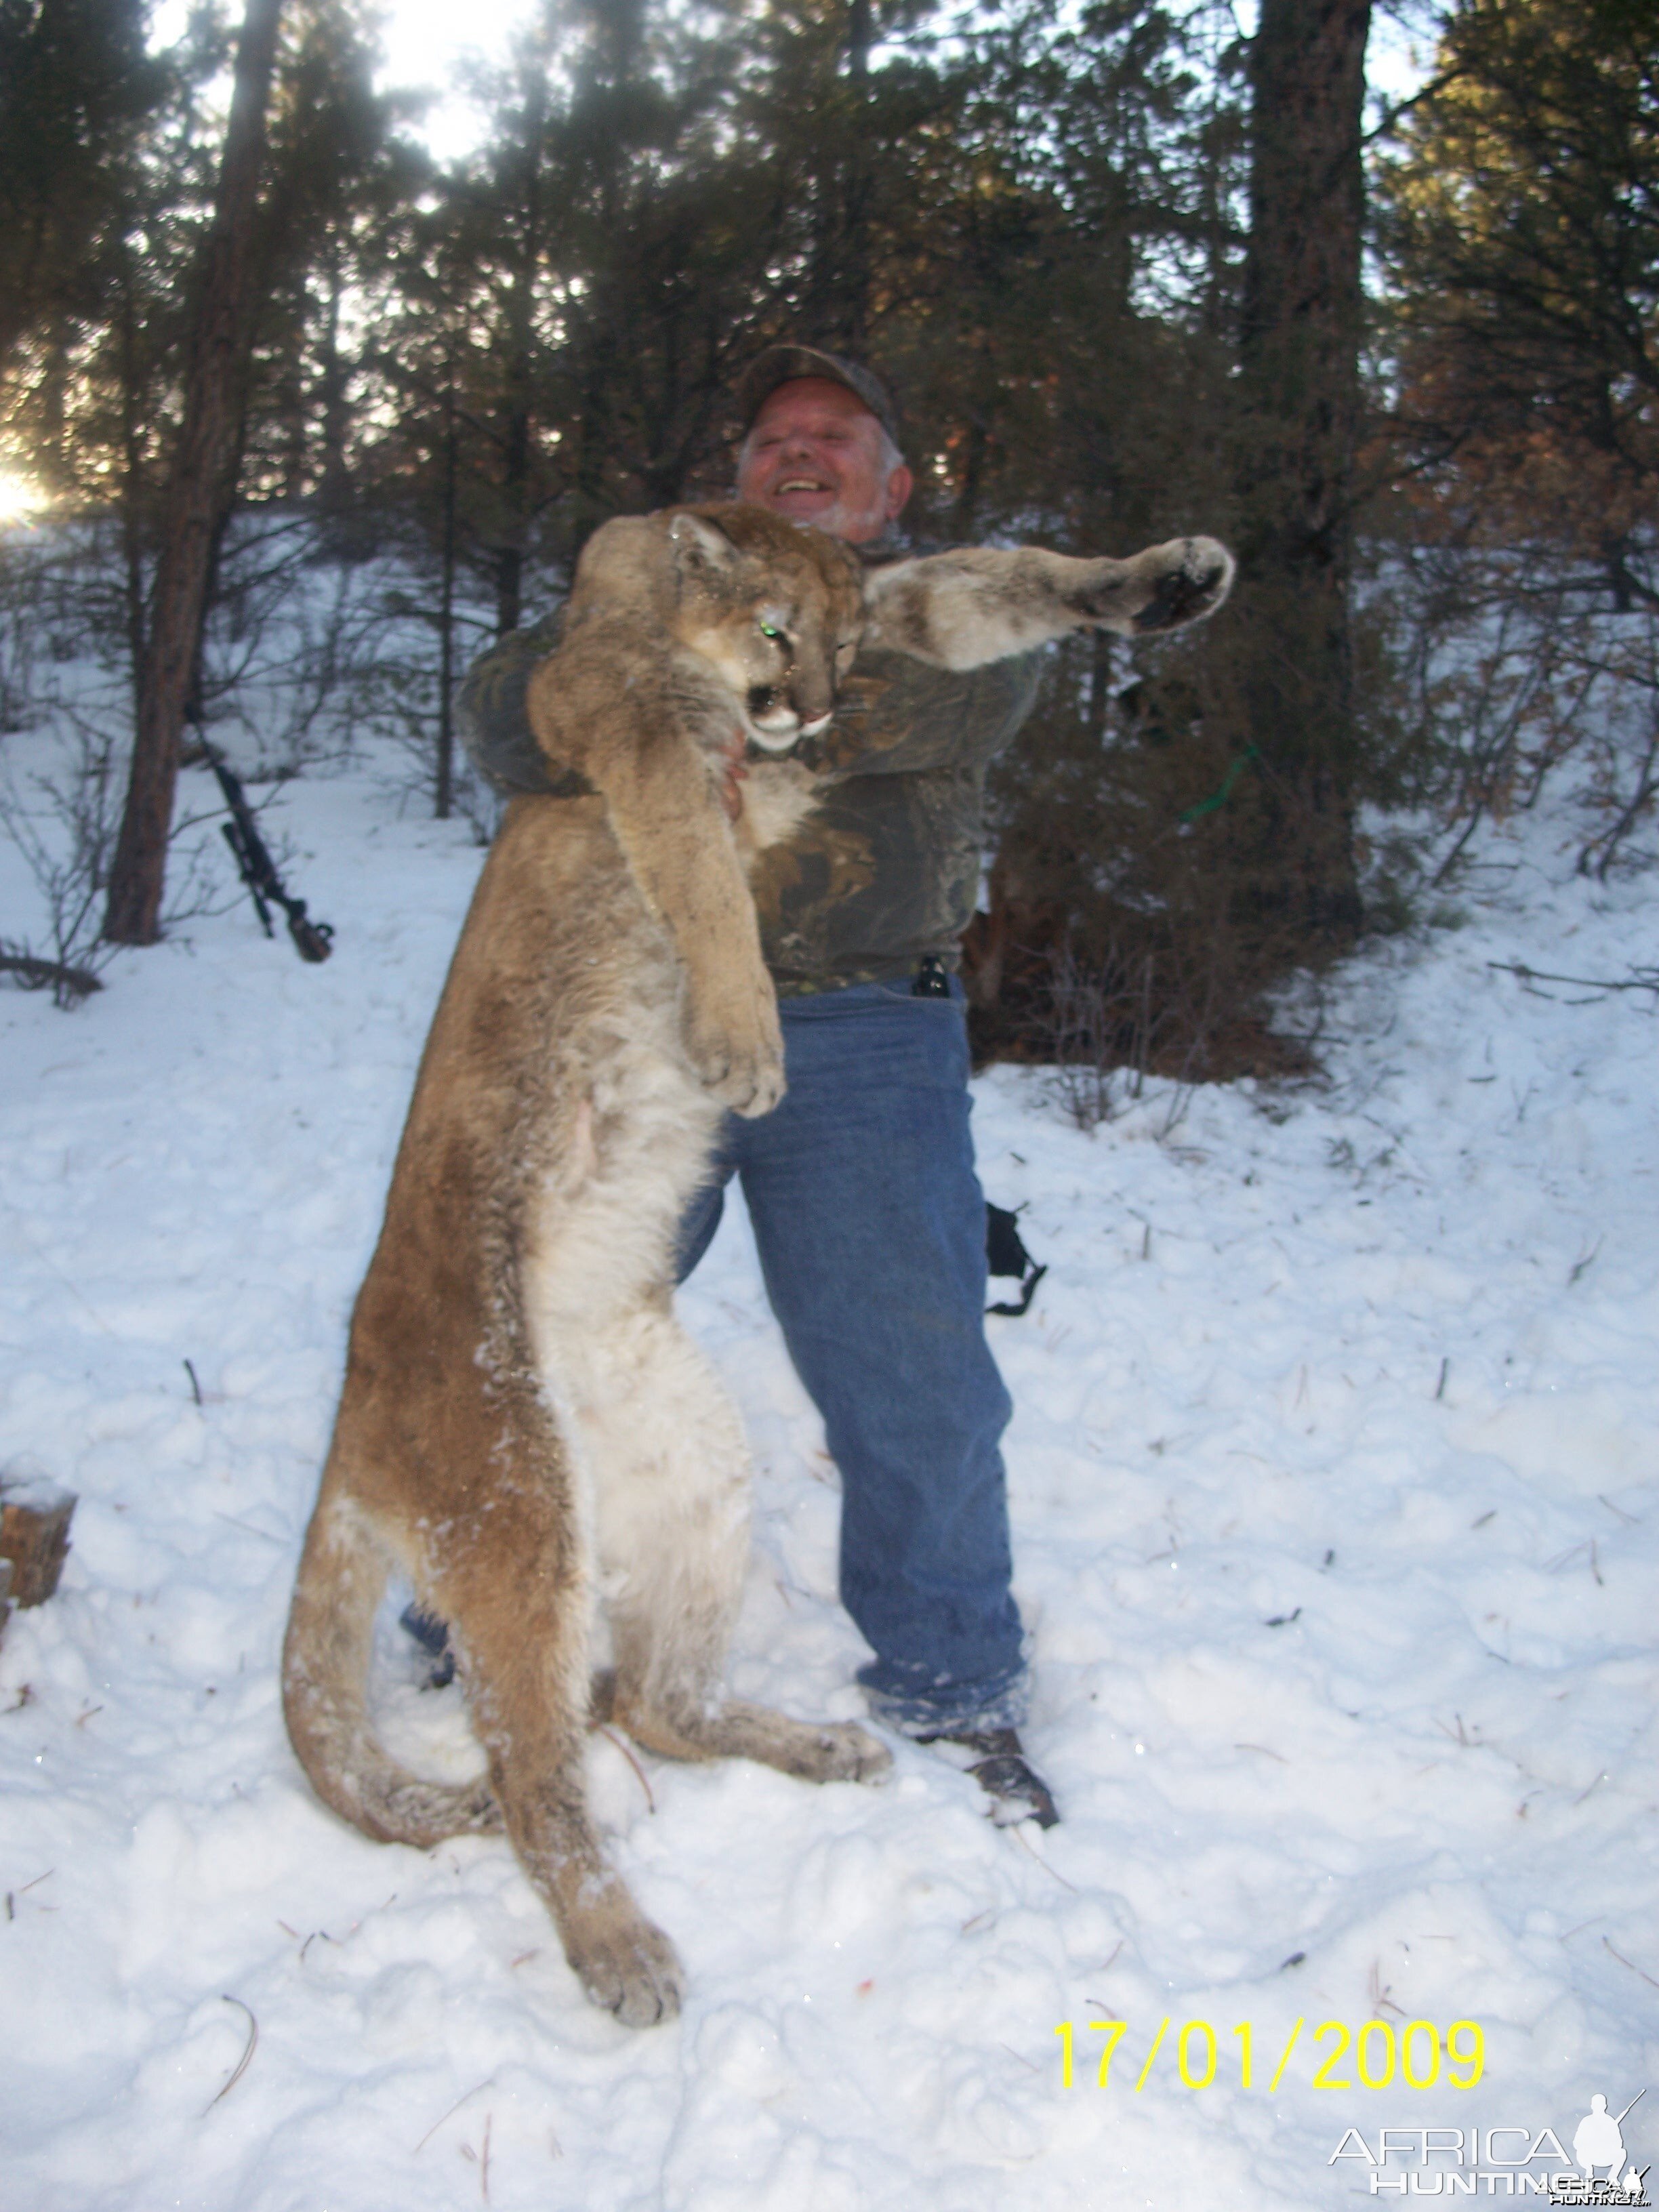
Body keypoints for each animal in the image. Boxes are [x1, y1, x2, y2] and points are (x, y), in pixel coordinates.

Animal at [283, 497, 1238, 2026]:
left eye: (839, 643)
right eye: (778, 633)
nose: (812, 705)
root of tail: (347, 1427)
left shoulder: (888, 626)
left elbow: (994, 583)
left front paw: (1164, 583)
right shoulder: (623, 725)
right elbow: (699, 879)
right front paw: (744, 1040)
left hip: (688, 1464)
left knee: (644, 1705)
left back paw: (816, 1746)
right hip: (518, 1504)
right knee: (538, 1774)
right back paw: (622, 1949)